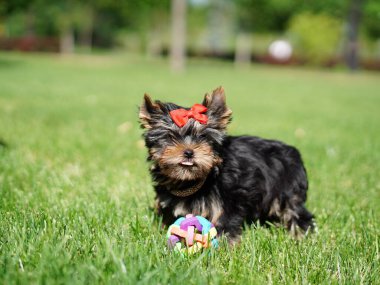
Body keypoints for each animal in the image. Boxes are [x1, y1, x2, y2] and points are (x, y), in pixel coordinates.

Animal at [140, 86, 314, 242]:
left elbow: (225, 222)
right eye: (170, 137)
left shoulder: (228, 200)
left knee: (297, 213)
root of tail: (294, 153)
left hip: (286, 191)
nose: (189, 152)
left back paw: (300, 236)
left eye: (203, 137)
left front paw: (224, 245)